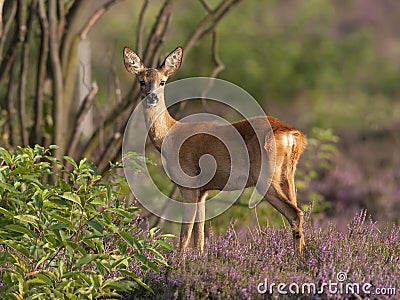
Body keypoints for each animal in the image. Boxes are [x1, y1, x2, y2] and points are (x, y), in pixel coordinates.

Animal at [123, 45, 308, 254]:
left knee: (295, 213)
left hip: (265, 176)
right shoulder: (203, 190)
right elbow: (199, 237)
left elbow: (185, 234)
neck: (169, 135)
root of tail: (292, 134)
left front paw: (178, 262)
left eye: (162, 81)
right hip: (287, 175)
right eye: (141, 81)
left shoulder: (188, 183)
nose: (152, 97)